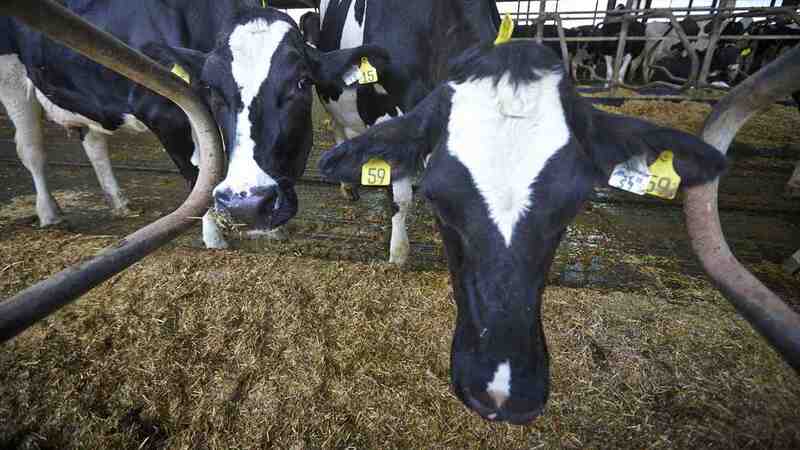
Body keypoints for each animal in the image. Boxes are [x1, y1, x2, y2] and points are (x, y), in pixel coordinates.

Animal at [1, 1, 386, 248]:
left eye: (303, 82)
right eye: (210, 89)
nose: (246, 205)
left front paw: (269, 229)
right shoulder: (165, 114)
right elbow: (199, 173)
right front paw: (214, 238)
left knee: (93, 142)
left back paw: (119, 201)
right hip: (11, 76)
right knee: (31, 149)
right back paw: (50, 213)